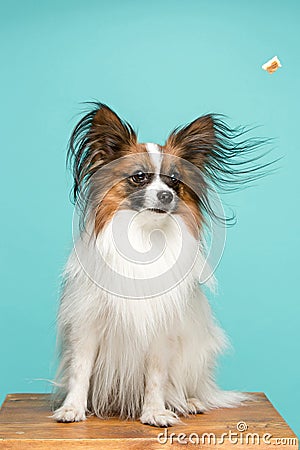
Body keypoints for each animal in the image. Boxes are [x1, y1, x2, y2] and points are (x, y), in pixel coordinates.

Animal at [52, 103, 268, 428]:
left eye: (175, 180)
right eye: (139, 177)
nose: (167, 195)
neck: (143, 236)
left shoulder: (161, 332)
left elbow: (156, 376)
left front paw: (155, 412)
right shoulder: (87, 324)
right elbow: (81, 370)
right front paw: (72, 408)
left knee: (185, 386)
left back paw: (189, 402)